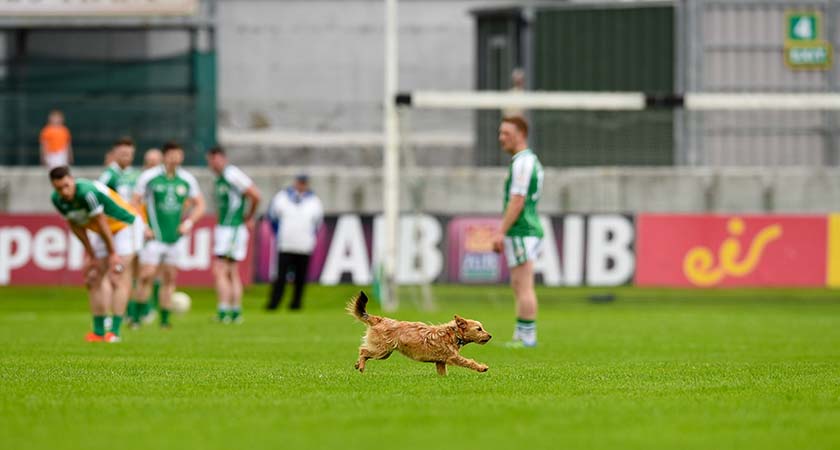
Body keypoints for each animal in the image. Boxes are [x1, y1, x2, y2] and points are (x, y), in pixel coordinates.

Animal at [348, 290, 492, 374]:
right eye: (479, 329)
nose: (490, 336)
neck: (453, 334)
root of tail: (379, 319)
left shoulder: (440, 362)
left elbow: (442, 374)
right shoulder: (452, 357)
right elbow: (468, 361)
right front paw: (481, 367)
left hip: (384, 352)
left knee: (364, 351)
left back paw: (357, 364)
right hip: (382, 351)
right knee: (363, 351)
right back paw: (361, 366)